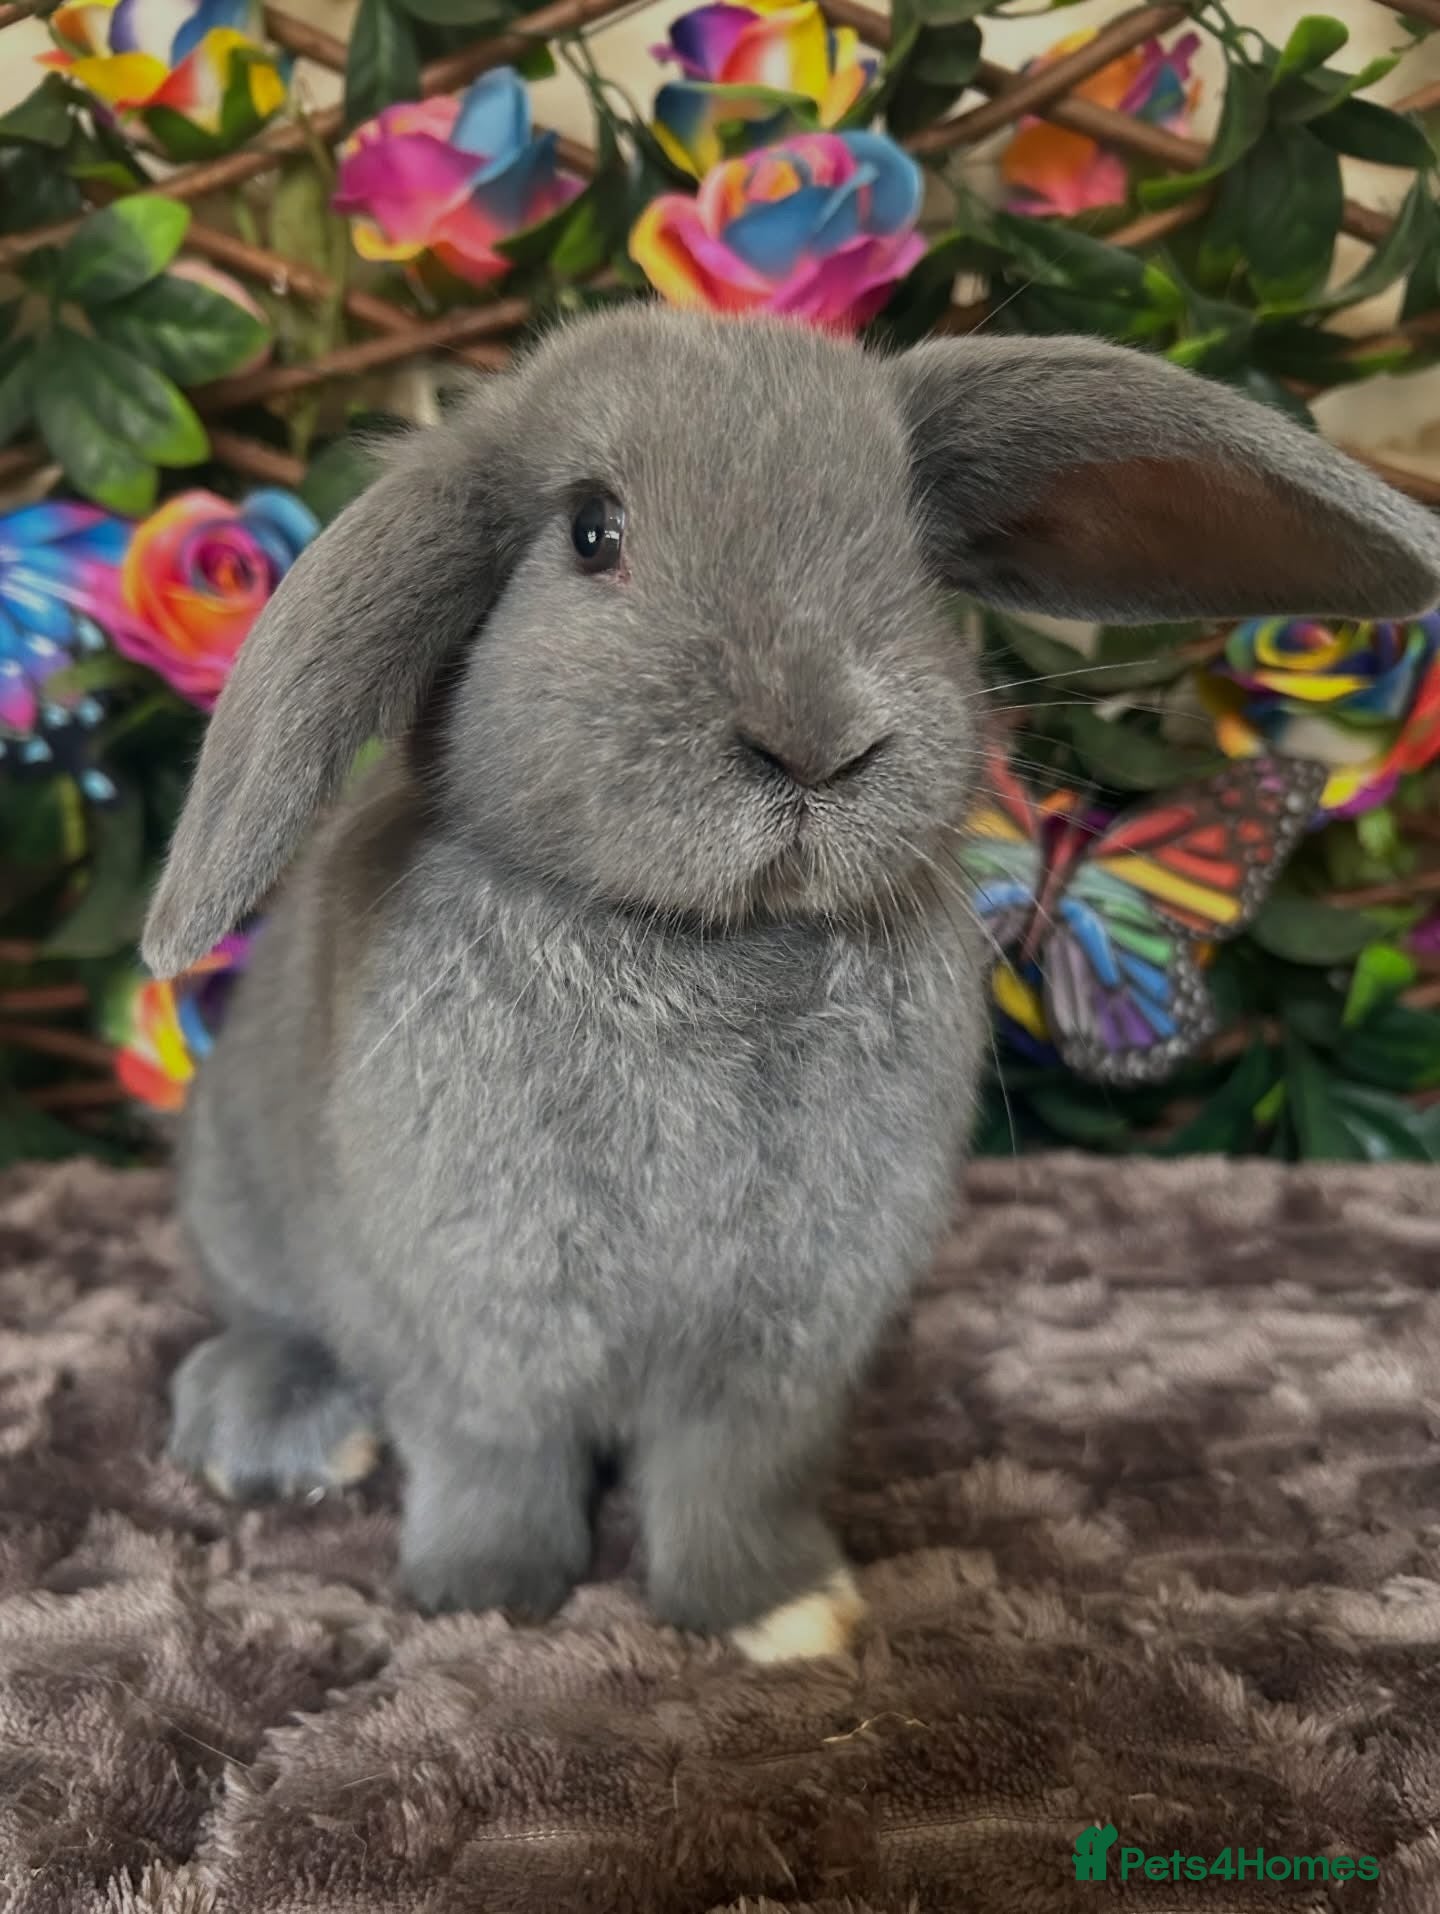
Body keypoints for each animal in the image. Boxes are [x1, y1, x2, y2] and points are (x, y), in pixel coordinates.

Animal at [144, 308, 1439, 1661]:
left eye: (916, 552)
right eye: (591, 533)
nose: (817, 740)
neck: (708, 943)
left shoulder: (784, 1345)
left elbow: (730, 1479)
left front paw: (784, 1614)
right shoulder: (483, 1327)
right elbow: (494, 1463)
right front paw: (485, 1596)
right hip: (241, 1208)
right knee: (269, 1324)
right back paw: (277, 1432)